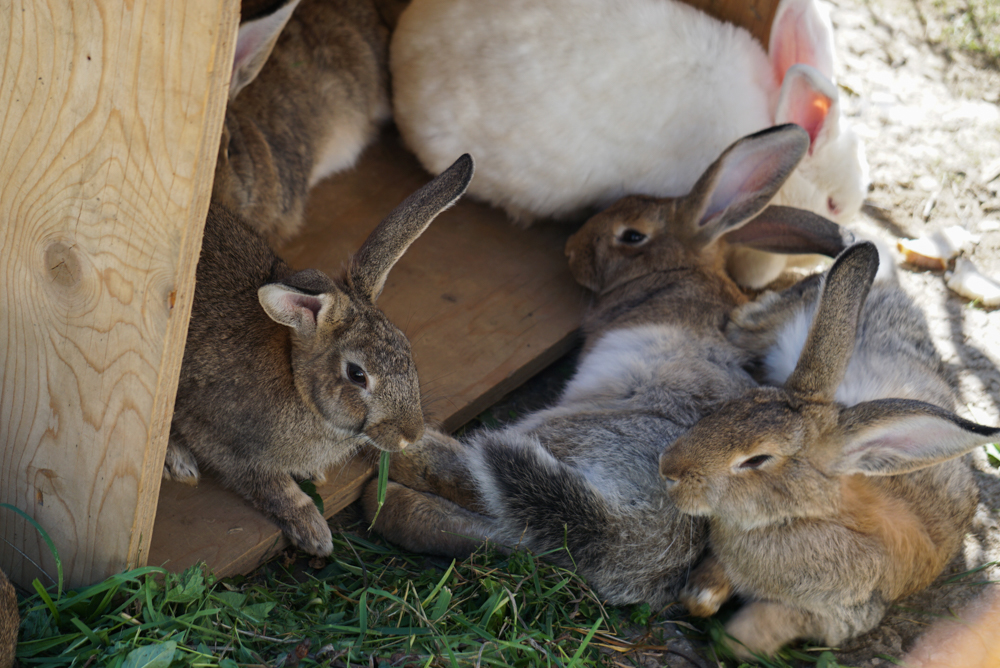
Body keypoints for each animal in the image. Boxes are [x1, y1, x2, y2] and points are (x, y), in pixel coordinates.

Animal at [162, 154, 474, 556]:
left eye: (406, 347)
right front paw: (314, 533)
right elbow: (269, 484)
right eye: (357, 374)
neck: (298, 383)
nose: (411, 434)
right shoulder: (219, 438)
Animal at [364, 122, 856, 608]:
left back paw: (396, 462)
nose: (570, 249)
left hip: (562, 432)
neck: (675, 270)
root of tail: (636, 537)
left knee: (472, 476)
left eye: (632, 235)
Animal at [656, 243, 1000, 660]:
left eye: (757, 460)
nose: (667, 468)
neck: (806, 514)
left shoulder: (840, 614)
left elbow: (758, 629)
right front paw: (699, 597)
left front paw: (726, 637)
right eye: (730, 406)